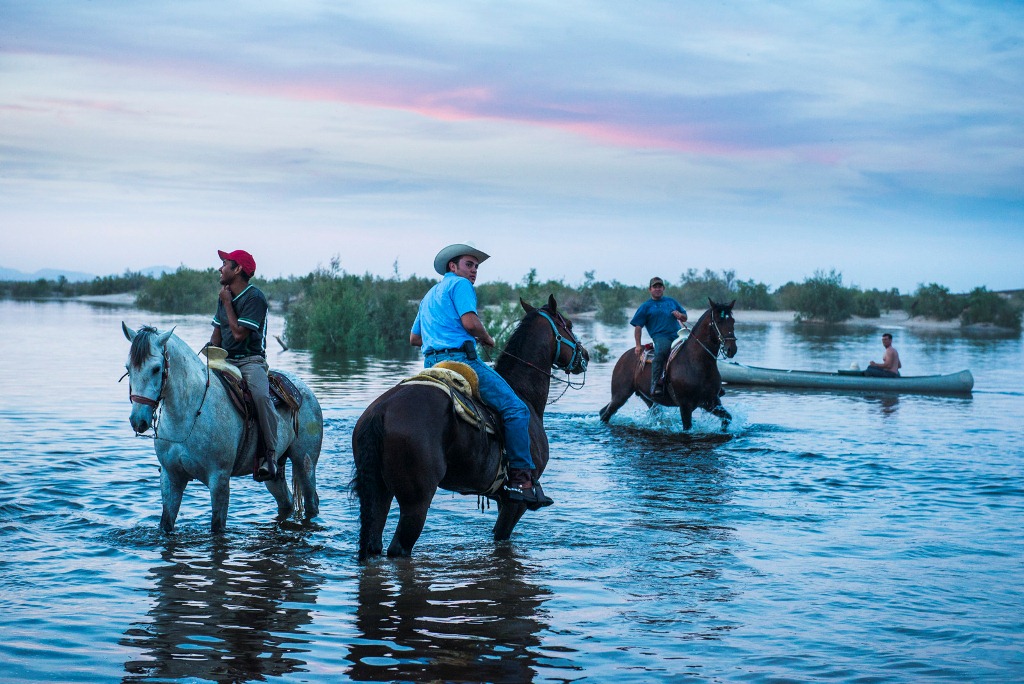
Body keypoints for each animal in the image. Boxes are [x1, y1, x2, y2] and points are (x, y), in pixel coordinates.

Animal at [124, 321, 323, 532]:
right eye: (128, 367)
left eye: (156, 368)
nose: (138, 420)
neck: (188, 415)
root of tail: (303, 389)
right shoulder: (171, 478)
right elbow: (166, 524)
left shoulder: (219, 479)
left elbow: (217, 527)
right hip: (274, 473)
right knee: (286, 502)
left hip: (305, 463)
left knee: (311, 501)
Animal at [354, 296, 589, 557]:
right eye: (568, 324)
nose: (585, 355)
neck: (524, 393)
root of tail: (381, 411)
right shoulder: (514, 503)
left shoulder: (502, 499)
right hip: (416, 499)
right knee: (398, 548)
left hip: (379, 490)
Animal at [598, 296, 737, 428]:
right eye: (718, 321)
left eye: (733, 321)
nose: (732, 349)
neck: (697, 362)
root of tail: (624, 356)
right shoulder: (685, 405)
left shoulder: (711, 401)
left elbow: (727, 418)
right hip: (620, 395)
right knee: (606, 415)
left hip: (648, 398)